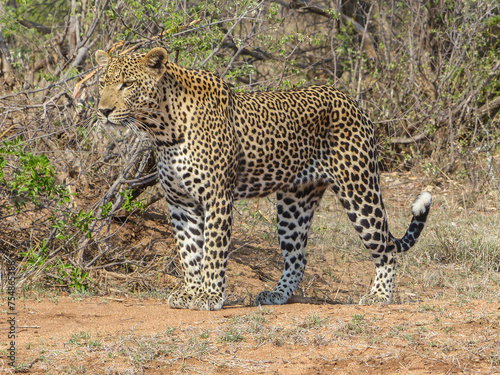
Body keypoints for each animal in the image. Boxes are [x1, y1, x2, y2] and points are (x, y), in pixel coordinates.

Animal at [95, 47, 432, 312]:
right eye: (101, 83)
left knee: (386, 250)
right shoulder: (180, 203)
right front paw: (190, 292)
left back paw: (379, 296)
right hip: (294, 205)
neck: (162, 128)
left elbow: (213, 251)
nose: (103, 110)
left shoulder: (217, 197)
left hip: (358, 188)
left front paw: (210, 296)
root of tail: (351, 101)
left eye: (127, 84)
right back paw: (276, 294)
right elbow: (189, 251)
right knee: (298, 258)